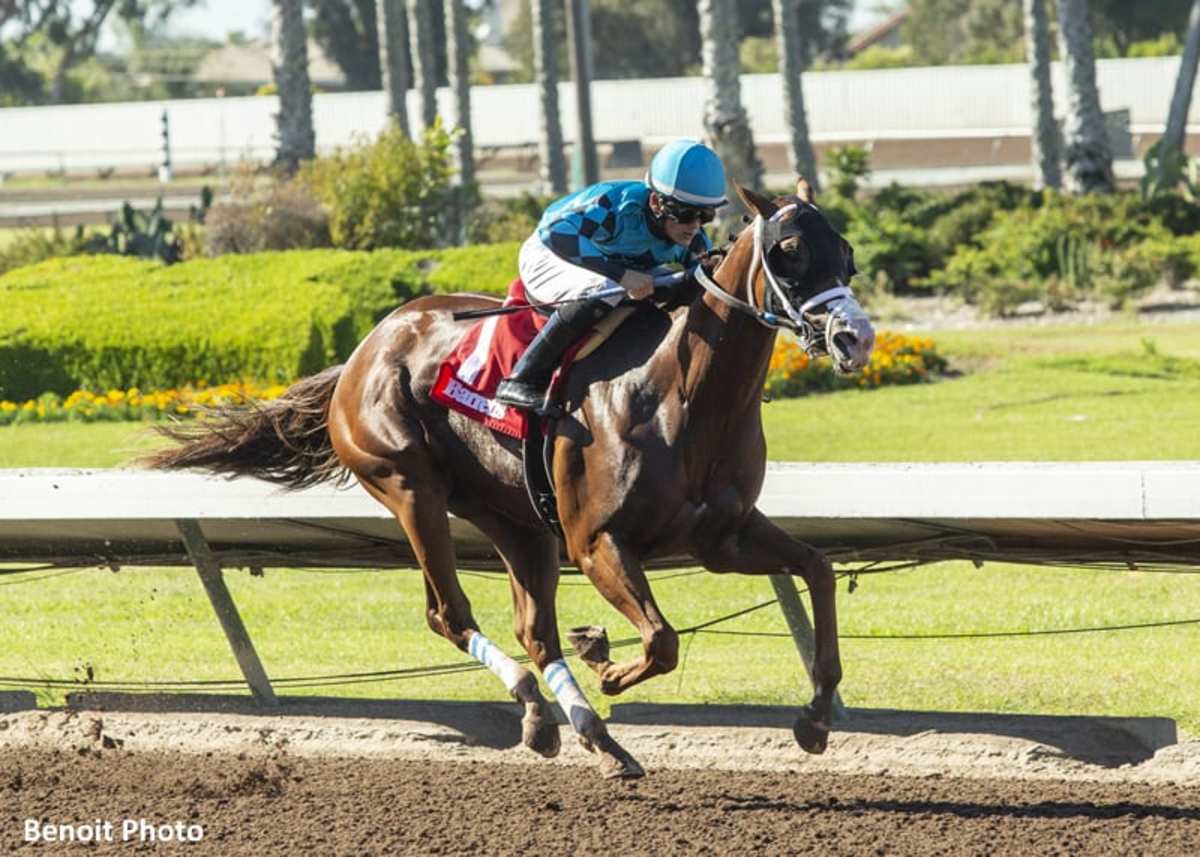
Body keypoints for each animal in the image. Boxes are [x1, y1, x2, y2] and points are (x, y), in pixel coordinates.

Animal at [147, 178, 873, 772]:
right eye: (787, 249)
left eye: (845, 251)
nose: (854, 338)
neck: (681, 394)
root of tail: (362, 350)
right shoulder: (596, 540)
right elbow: (662, 640)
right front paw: (607, 665)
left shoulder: (721, 537)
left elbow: (817, 570)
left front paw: (814, 720)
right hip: (411, 488)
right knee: (448, 612)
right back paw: (546, 703)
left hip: (516, 519)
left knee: (534, 629)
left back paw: (586, 735)